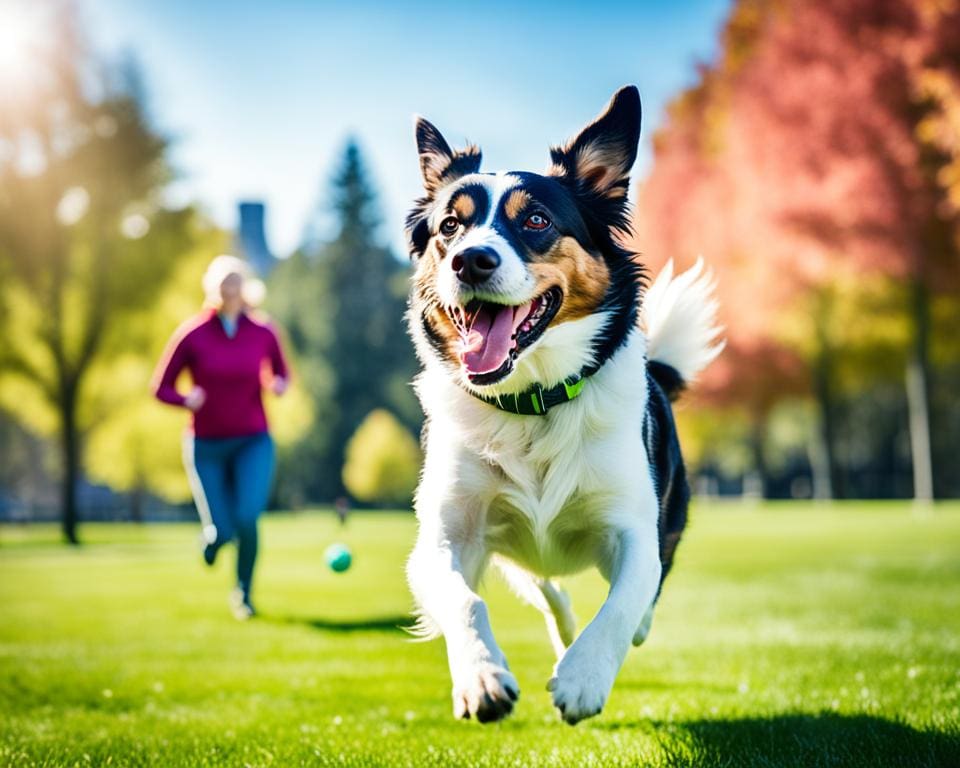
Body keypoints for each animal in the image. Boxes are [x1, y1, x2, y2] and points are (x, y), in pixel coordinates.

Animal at [402, 87, 724, 724]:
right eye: (450, 225)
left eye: (536, 220)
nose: (470, 260)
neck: (533, 403)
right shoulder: (445, 535)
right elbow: (463, 600)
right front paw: (481, 676)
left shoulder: (633, 528)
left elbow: (626, 601)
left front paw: (582, 678)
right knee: (545, 584)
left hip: (671, 511)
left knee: (645, 590)